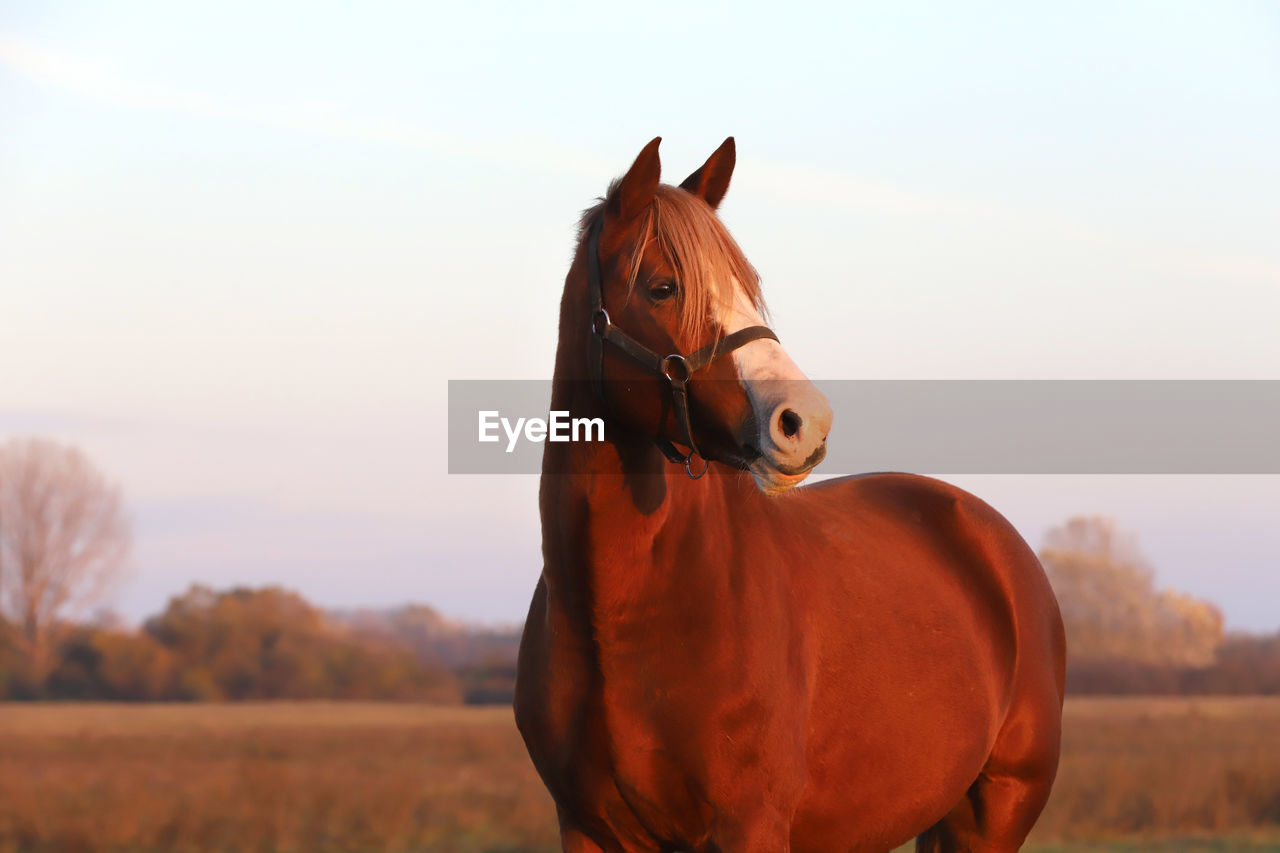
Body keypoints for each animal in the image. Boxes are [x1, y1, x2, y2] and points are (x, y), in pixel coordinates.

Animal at [514, 136, 1064, 845]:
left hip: (995, 812)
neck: (623, 615)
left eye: (750, 291)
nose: (806, 421)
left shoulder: (750, 827)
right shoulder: (587, 829)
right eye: (663, 289)